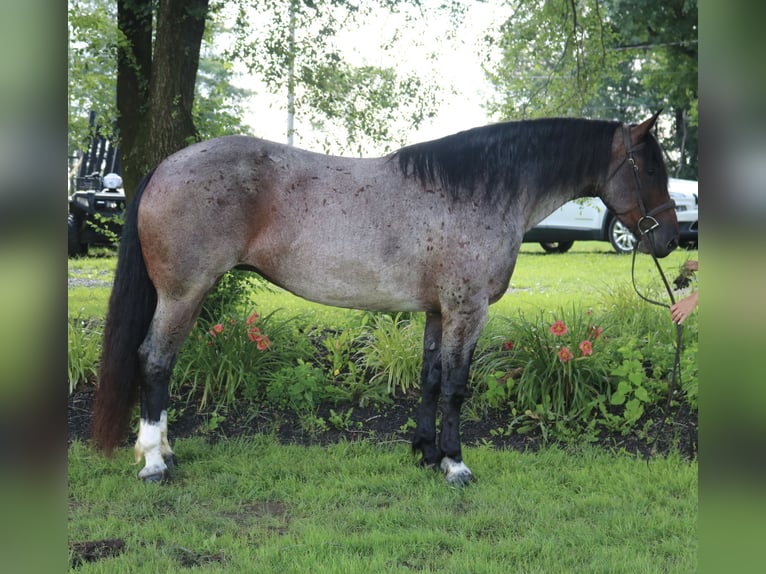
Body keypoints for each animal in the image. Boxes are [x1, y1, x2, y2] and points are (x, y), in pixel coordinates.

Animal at [92, 113, 678, 485]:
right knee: (155, 361)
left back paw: (166, 451)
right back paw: (154, 462)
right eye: (650, 168)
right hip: (183, 293)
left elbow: (432, 379)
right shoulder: (467, 310)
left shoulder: (438, 312)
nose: (669, 239)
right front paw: (456, 465)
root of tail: (166, 166)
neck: (479, 191)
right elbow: (457, 387)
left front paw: (426, 453)